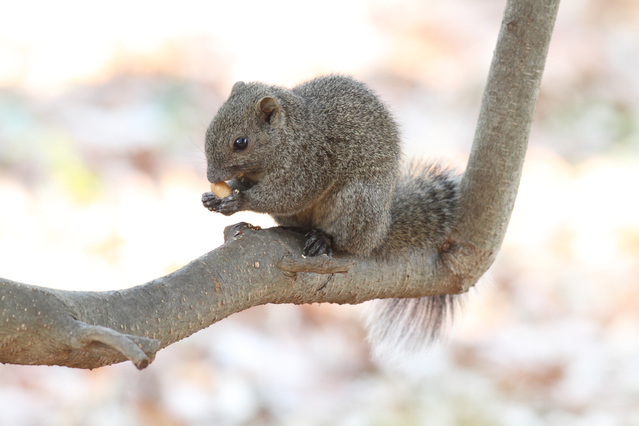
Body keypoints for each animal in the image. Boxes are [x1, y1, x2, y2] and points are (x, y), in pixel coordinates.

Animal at [202, 75, 462, 356]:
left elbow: (286, 196)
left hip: (355, 204)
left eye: (241, 142)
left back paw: (323, 240)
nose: (210, 176)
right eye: (210, 127)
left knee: (346, 241)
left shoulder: (307, 166)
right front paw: (215, 197)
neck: (289, 136)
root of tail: (379, 233)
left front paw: (238, 200)